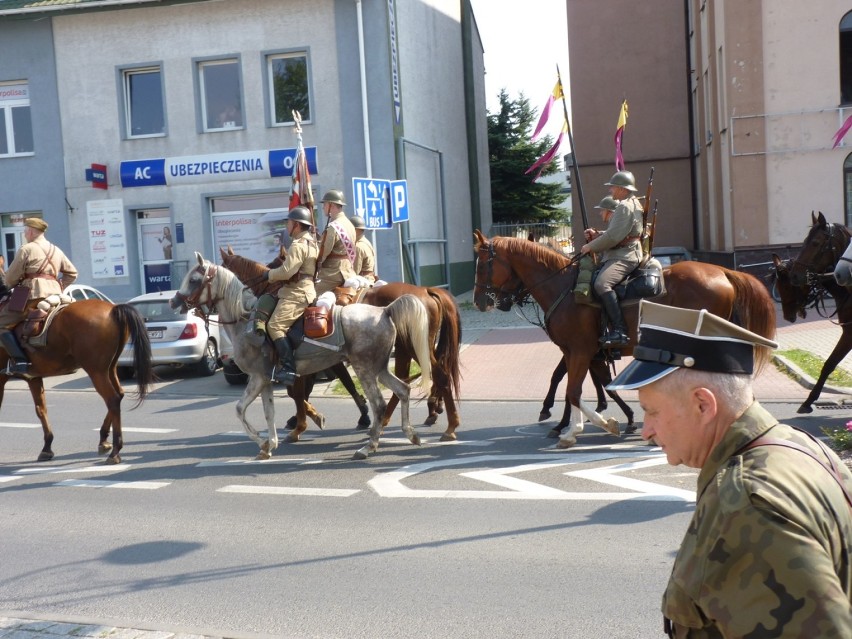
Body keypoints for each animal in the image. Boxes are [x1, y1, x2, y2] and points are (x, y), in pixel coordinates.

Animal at [0, 300, 151, 464]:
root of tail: (113, 308)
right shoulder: (33, 378)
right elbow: (41, 409)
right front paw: (47, 447)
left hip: (96, 371)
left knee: (112, 399)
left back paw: (115, 450)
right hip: (110, 368)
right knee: (119, 395)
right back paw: (103, 440)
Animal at [472, 231, 780, 450]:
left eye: (483, 266)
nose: (478, 302)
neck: (564, 288)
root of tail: (724, 272)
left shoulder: (581, 350)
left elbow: (574, 389)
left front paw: (588, 426)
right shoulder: (576, 352)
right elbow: (576, 387)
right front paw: (577, 425)